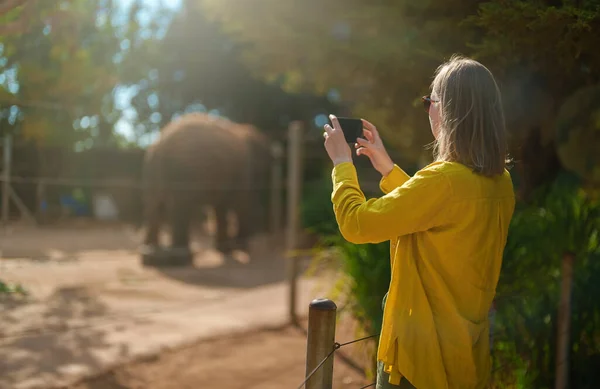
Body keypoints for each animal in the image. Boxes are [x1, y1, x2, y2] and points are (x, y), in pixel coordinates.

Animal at [141, 112, 272, 262]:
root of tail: (161, 144)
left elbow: (222, 206)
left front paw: (226, 250)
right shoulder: (244, 170)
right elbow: (241, 204)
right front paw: (240, 248)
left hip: (152, 172)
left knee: (155, 207)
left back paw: (149, 254)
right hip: (183, 173)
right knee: (179, 208)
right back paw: (182, 258)